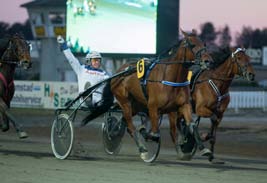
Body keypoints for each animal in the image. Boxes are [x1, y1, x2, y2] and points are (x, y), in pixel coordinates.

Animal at [111, 30, 216, 160]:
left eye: (204, 44)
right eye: (192, 45)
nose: (208, 61)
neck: (171, 77)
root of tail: (119, 71)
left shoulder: (183, 105)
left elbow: (192, 126)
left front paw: (203, 149)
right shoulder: (152, 106)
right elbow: (154, 134)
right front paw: (144, 132)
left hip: (136, 104)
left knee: (125, 121)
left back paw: (115, 132)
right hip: (125, 101)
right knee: (130, 125)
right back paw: (141, 148)